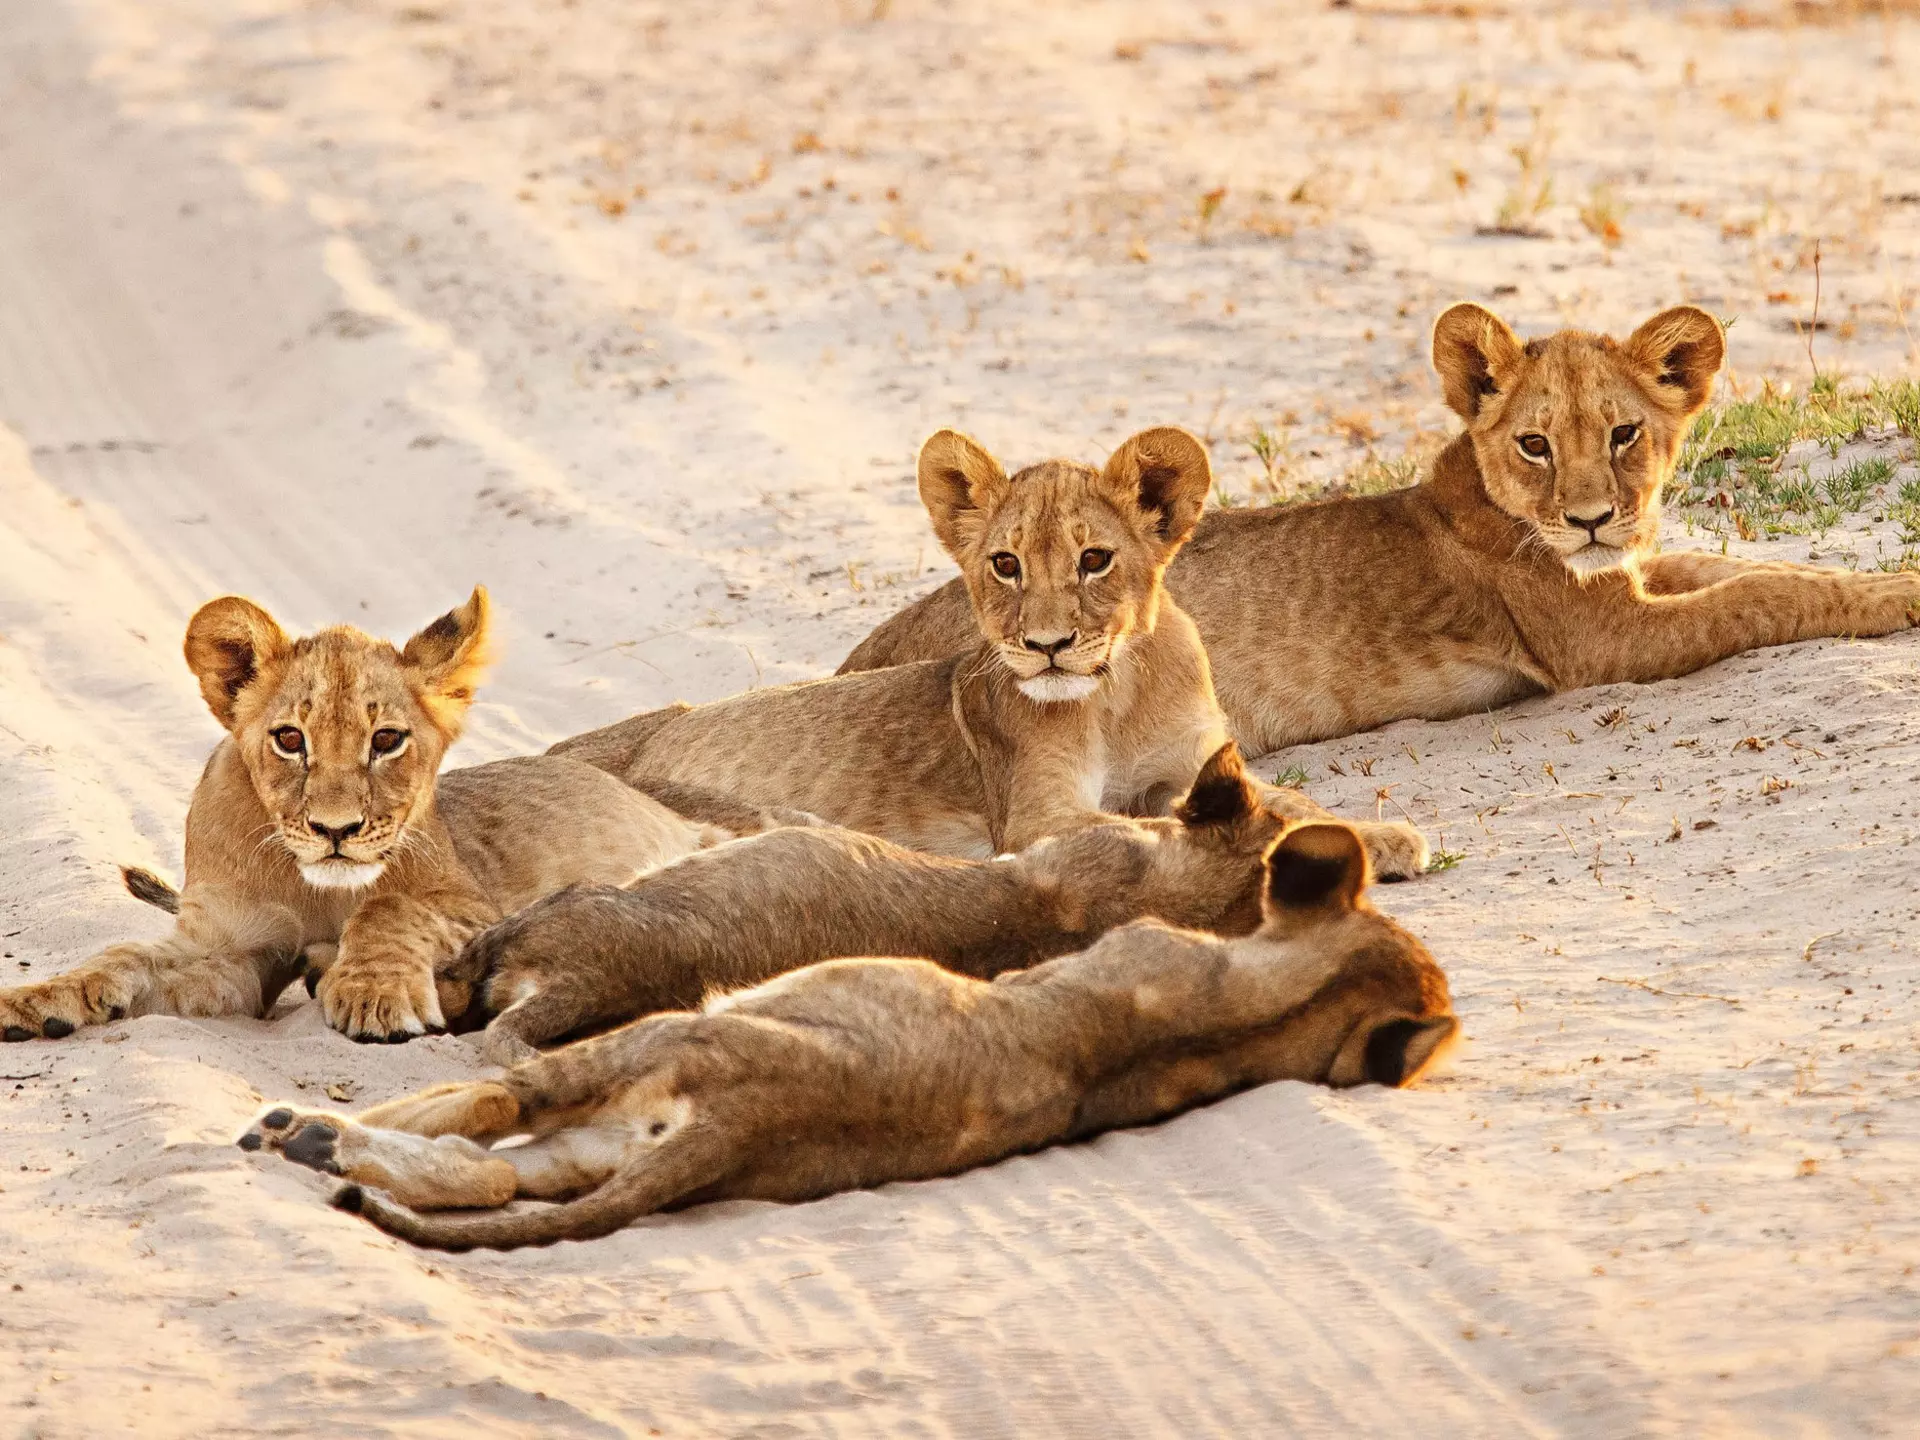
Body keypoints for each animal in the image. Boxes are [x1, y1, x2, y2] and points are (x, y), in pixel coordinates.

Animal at [0, 589, 755, 1045]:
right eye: (290, 739)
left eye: (386, 740)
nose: (336, 831)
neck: (312, 891)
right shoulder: (230, 953)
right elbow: (124, 955)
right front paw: (39, 1000)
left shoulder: (473, 905)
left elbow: (389, 907)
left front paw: (374, 995)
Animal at [236, 819, 1458, 1251]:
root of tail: (754, 1118)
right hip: (604, 1130)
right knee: (491, 1171)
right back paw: (324, 1140)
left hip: (632, 1019)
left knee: (490, 1085)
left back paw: (295, 1127)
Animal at [553, 425, 1428, 875]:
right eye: (1005, 565)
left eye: (1094, 559)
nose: (1047, 646)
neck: (1121, 696)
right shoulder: (1036, 813)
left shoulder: (1194, 759)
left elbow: (1295, 801)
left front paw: (1381, 836)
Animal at [839, 306, 1920, 755]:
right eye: (1534, 443)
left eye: (1624, 435)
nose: (1589, 519)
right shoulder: (1602, 640)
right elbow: (1758, 596)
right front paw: (1897, 595)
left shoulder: (1628, 581)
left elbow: (1747, 566)